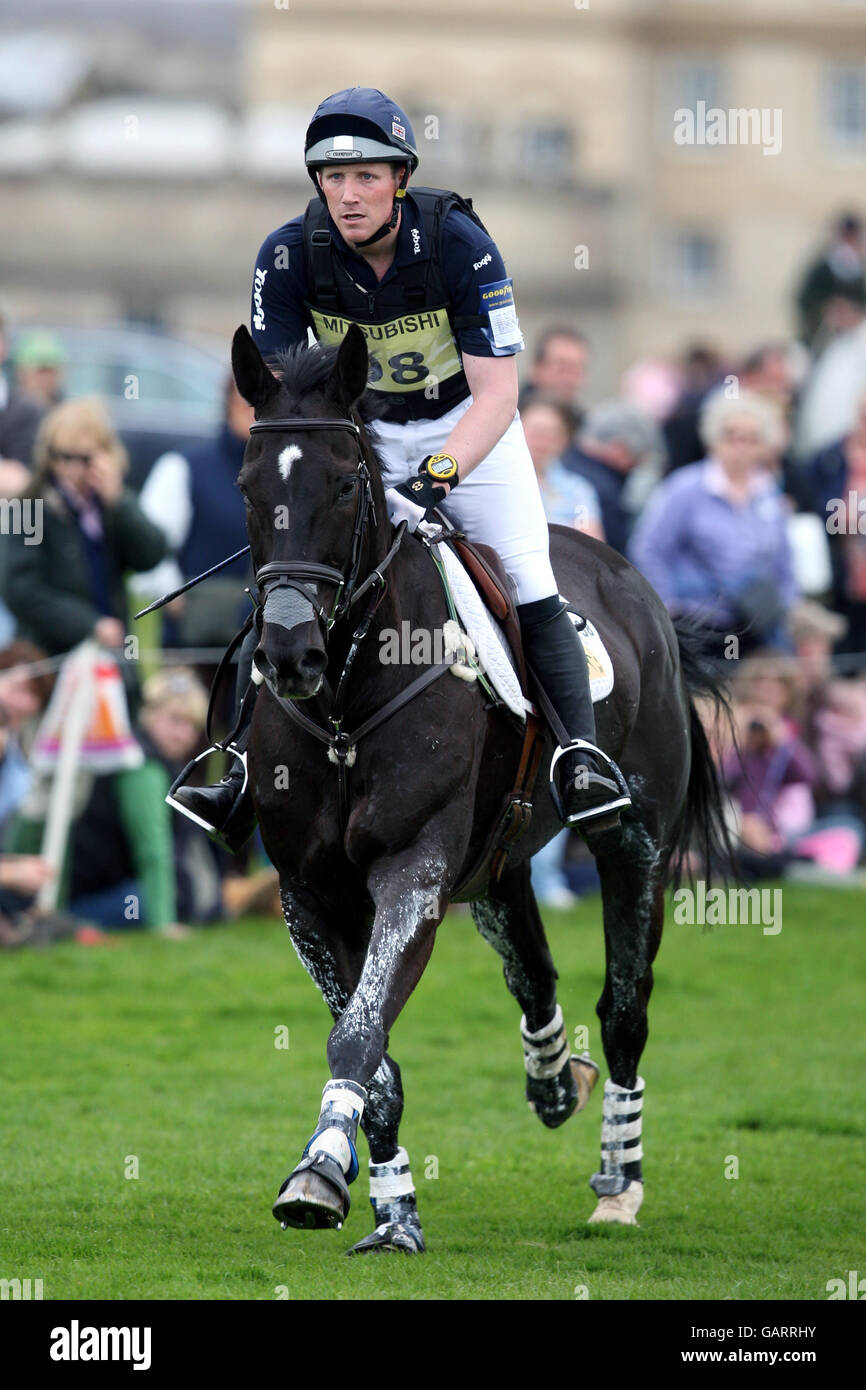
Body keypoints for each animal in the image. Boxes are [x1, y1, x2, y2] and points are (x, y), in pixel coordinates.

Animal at [230, 322, 733, 1251]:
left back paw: (619, 1181)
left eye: (346, 483)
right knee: (532, 975)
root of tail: (632, 581)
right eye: (249, 486)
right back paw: (555, 1080)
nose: (288, 654)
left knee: (625, 1007)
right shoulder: (309, 894)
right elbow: (377, 1052)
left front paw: (320, 1171)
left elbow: (359, 1034)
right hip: (498, 864)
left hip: (630, 843)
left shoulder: (414, 875)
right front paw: (383, 1205)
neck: (348, 700)